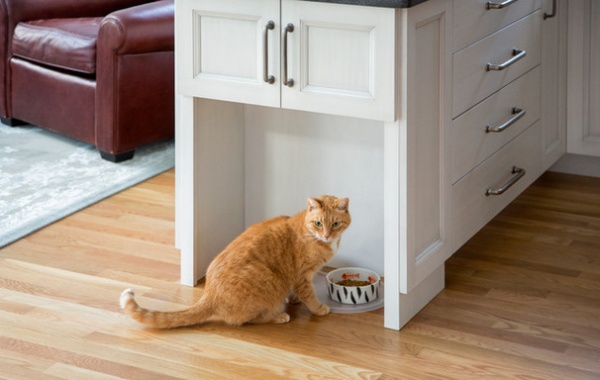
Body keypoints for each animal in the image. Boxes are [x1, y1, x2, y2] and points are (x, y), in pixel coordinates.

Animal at [119, 194, 350, 328]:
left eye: (335, 224)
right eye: (318, 223)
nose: (327, 235)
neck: (310, 233)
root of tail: (209, 295)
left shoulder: (298, 278)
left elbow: (297, 292)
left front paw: (294, 299)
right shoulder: (302, 275)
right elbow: (310, 296)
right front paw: (319, 308)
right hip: (270, 284)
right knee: (249, 320)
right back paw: (278, 317)